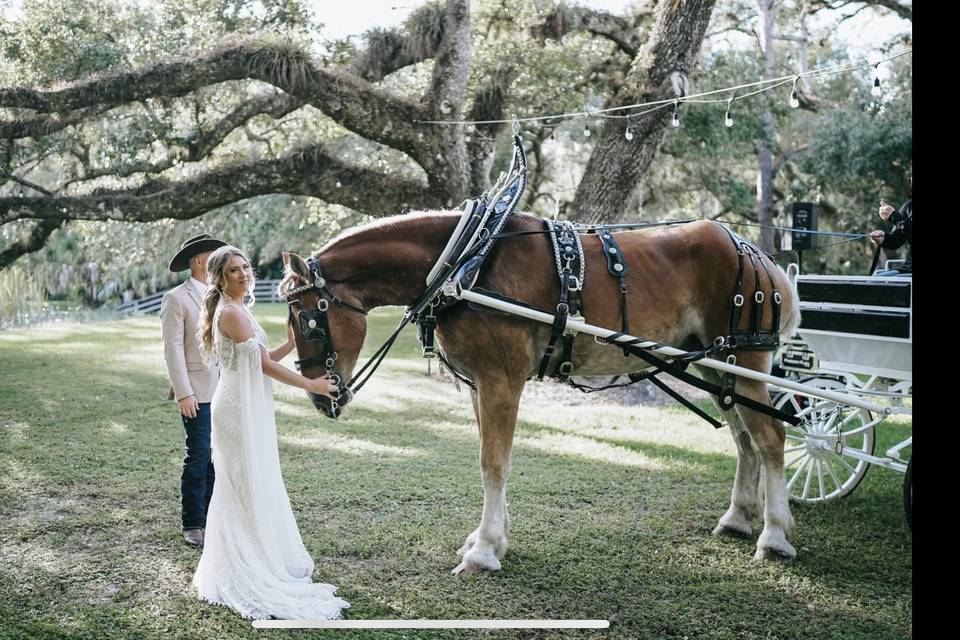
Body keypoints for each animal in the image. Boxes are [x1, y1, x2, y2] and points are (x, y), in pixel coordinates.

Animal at [284, 211, 804, 576]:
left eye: (308, 321)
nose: (319, 397)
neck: (466, 263)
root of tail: (758, 254)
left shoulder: (501, 380)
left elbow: (493, 463)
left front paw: (484, 550)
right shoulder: (479, 385)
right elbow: (488, 458)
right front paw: (488, 539)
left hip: (744, 361)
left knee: (771, 439)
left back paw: (775, 535)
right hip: (715, 366)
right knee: (744, 440)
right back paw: (737, 518)